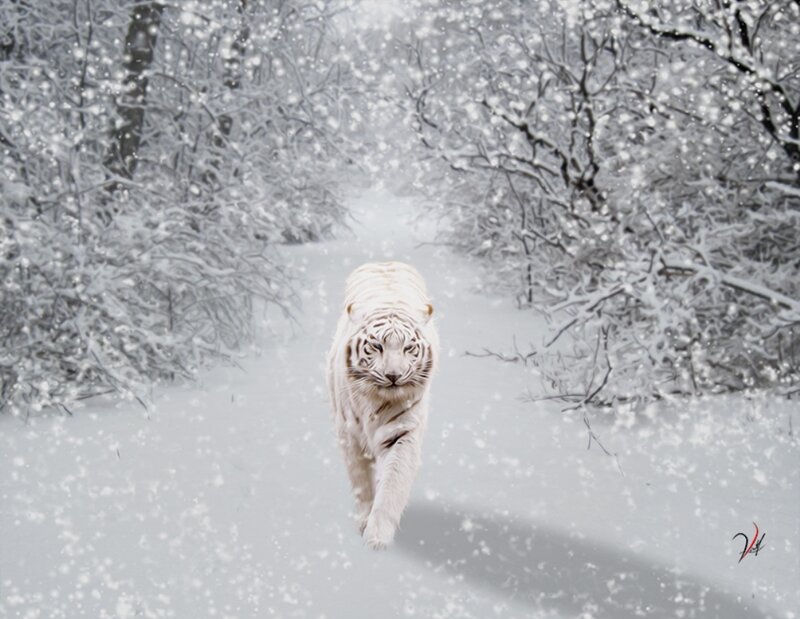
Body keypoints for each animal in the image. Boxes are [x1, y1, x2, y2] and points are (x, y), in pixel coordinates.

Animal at [326, 261, 439, 550]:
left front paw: (377, 539)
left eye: (409, 347)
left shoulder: (404, 432)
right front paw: (364, 523)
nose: (393, 375)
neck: (376, 401)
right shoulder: (349, 435)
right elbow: (361, 483)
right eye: (377, 346)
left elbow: (392, 485)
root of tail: (384, 261)